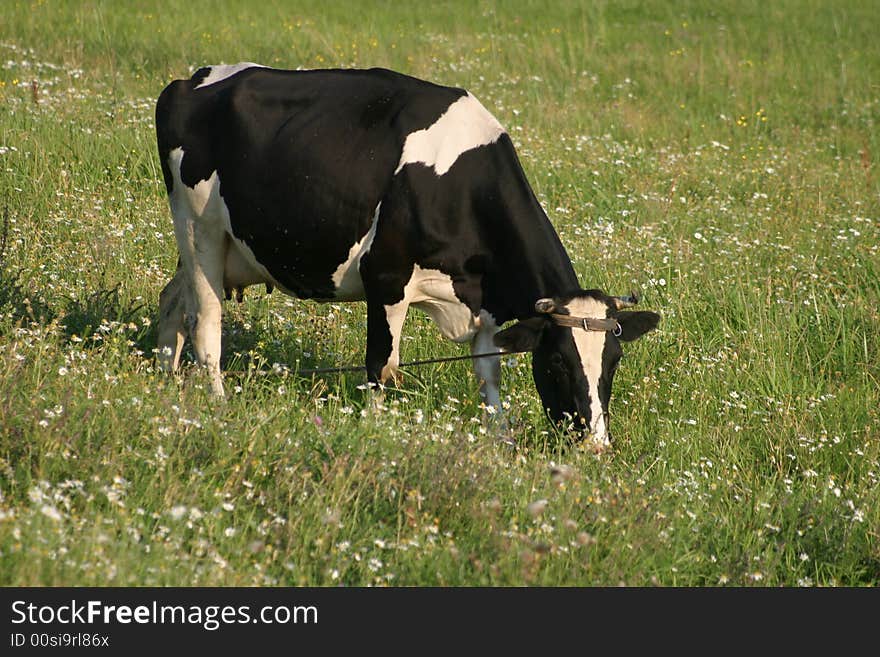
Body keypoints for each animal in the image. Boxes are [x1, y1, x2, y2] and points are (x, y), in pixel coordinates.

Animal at [155, 64, 656, 444]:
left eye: (613, 360)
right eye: (557, 361)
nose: (595, 445)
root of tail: (193, 79)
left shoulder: (488, 306)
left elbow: (489, 374)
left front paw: (500, 440)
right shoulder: (386, 278)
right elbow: (383, 366)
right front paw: (375, 431)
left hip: (211, 245)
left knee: (171, 303)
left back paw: (164, 381)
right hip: (199, 228)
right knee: (206, 321)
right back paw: (217, 403)